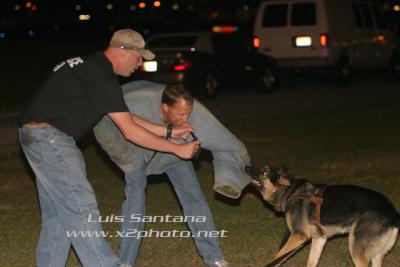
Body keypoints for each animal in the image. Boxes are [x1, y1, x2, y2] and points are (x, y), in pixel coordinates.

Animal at [244, 166, 400, 266]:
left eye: (264, 172)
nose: (246, 166)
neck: (290, 191)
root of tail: (393, 213)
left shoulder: (299, 236)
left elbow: (277, 257)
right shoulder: (319, 238)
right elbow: (311, 262)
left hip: (357, 251)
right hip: (377, 255)